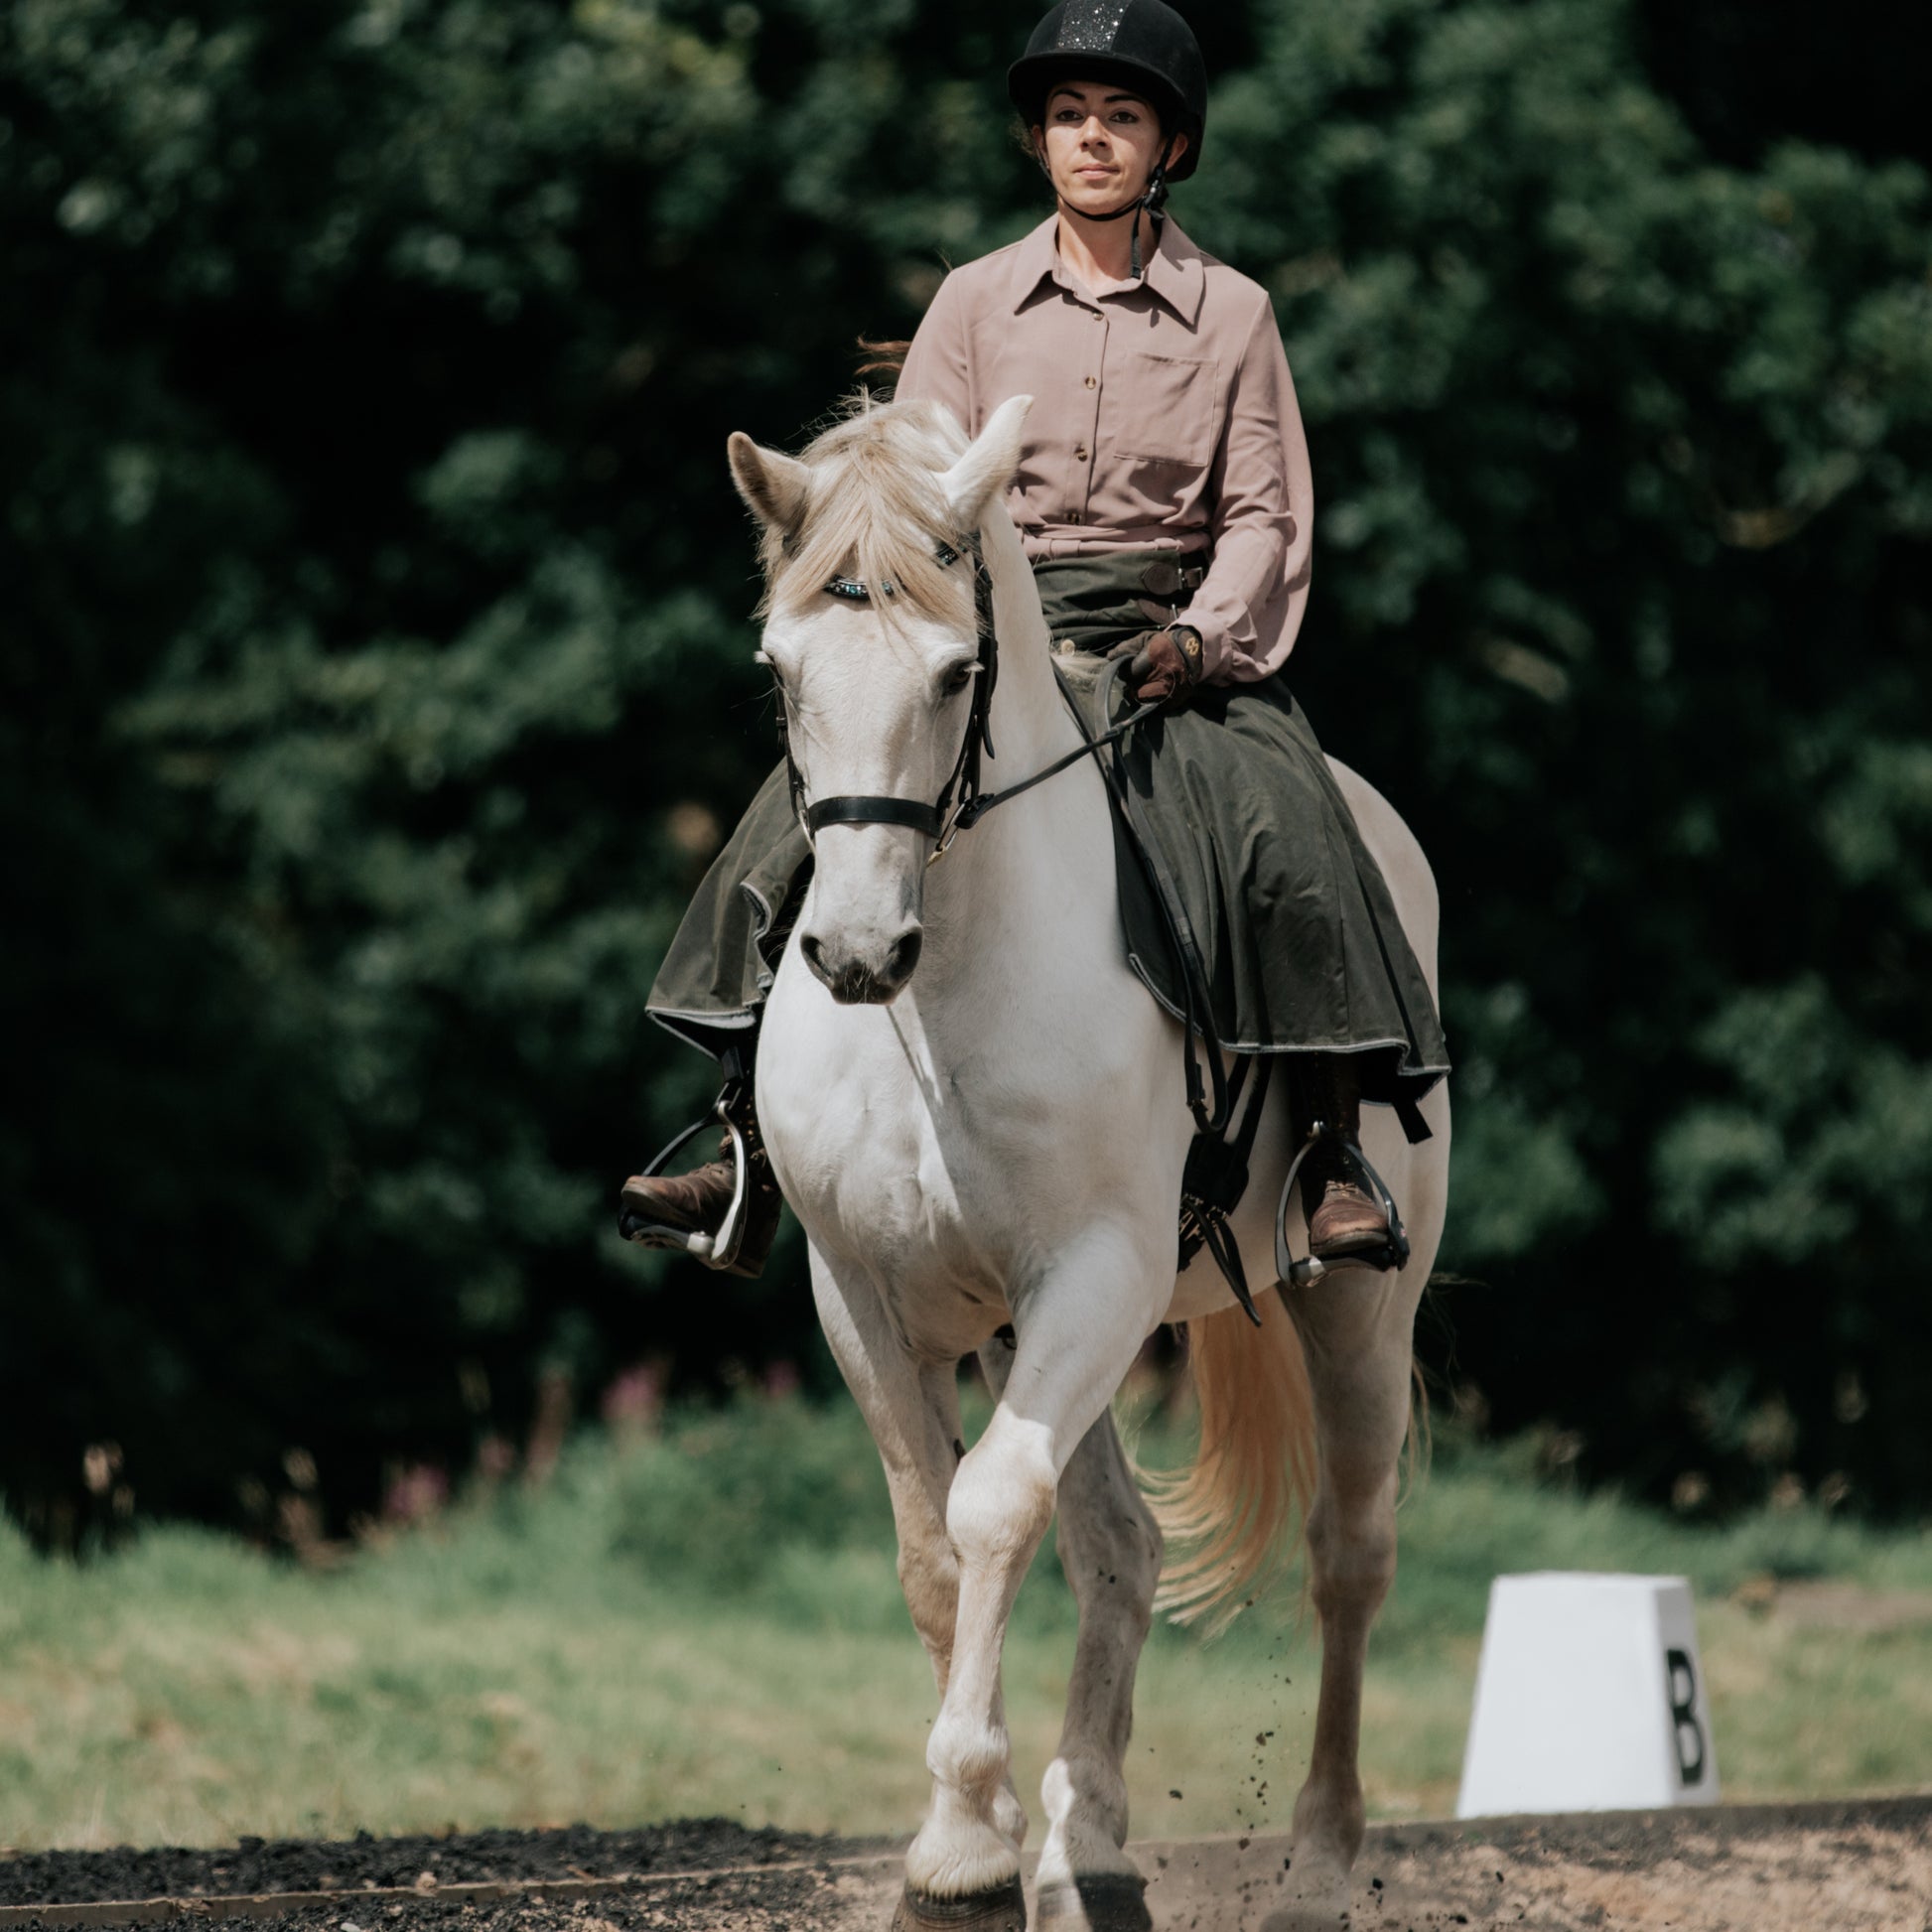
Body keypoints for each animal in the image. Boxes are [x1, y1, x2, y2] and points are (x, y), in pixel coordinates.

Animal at [728, 391, 1451, 1932]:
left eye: (955, 671)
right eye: (780, 667)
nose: (854, 952)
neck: (940, 1003)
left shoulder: (1097, 1274)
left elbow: (992, 1505)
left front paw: (956, 1848)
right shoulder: (859, 1292)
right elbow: (930, 1542)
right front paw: (983, 1837)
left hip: (1356, 1305)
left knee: (1347, 1556)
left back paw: (1317, 1863)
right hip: (1024, 1329)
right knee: (1121, 1546)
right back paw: (1091, 1846)